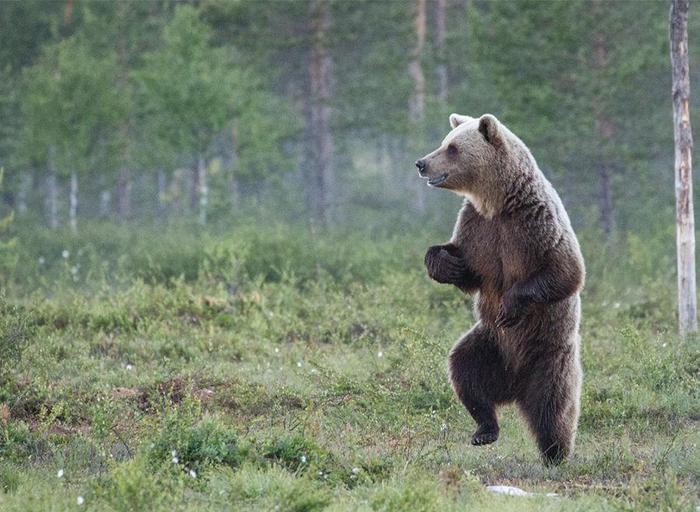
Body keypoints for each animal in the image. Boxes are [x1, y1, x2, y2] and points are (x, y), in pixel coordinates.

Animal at [416, 113, 584, 464]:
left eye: (452, 148)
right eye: (444, 141)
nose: (421, 163)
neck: (497, 203)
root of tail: (514, 387)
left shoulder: (534, 224)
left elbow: (566, 270)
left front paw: (510, 305)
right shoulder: (477, 228)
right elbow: (468, 269)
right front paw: (445, 263)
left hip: (548, 355)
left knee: (554, 407)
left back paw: (555, 454)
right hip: (489, 344)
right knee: (464, 371)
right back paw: (484, 429)